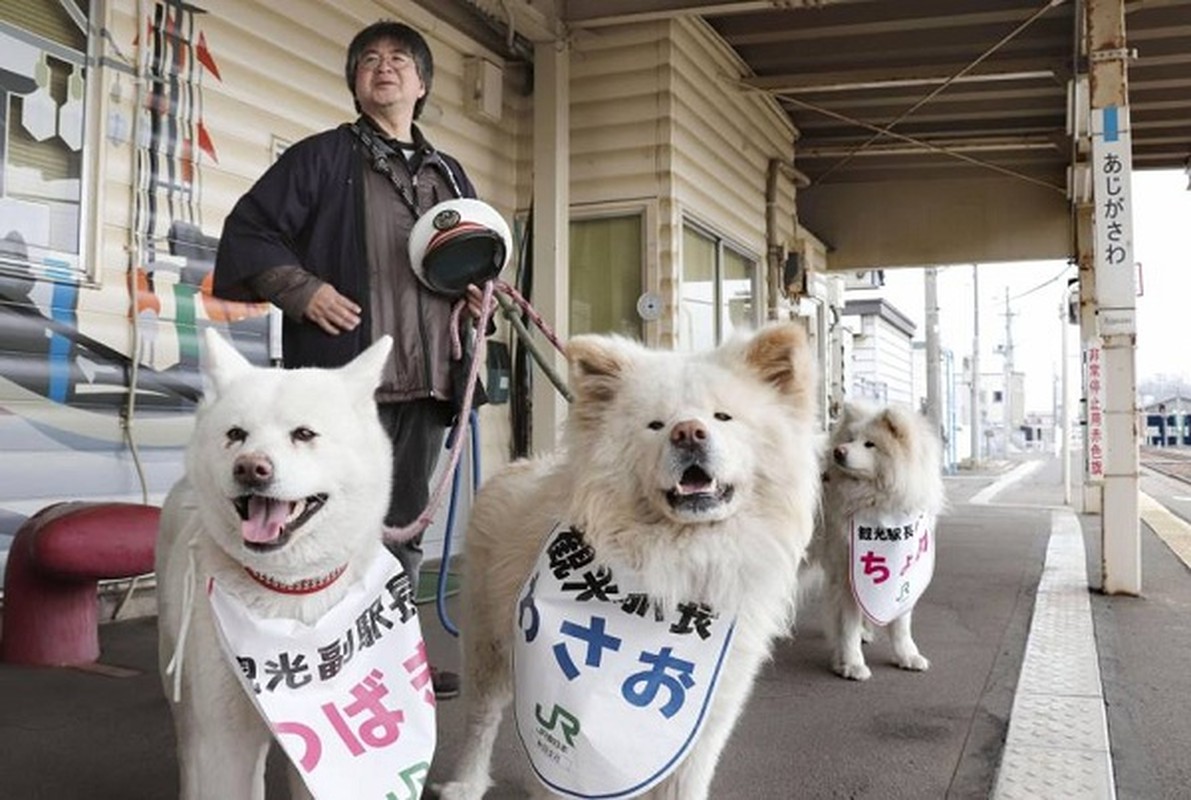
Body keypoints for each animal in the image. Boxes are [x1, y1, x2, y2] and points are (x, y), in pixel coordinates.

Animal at [438, 323, 819, 800]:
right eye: (656, 425)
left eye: (722, 417)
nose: (688, 432)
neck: (673, 566)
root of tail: (516, 465)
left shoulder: (706, 715)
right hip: (484, 643)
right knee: (481, 719)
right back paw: (464, 784)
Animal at [809, 400, 948, 680]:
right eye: (850, 439)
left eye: (869, 444)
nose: (838, 451)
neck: (877, 501)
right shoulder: (846, 575)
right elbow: (848, 626)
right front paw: (851, 664)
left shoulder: (902, 576)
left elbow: (901, 625)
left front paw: (907, 656)